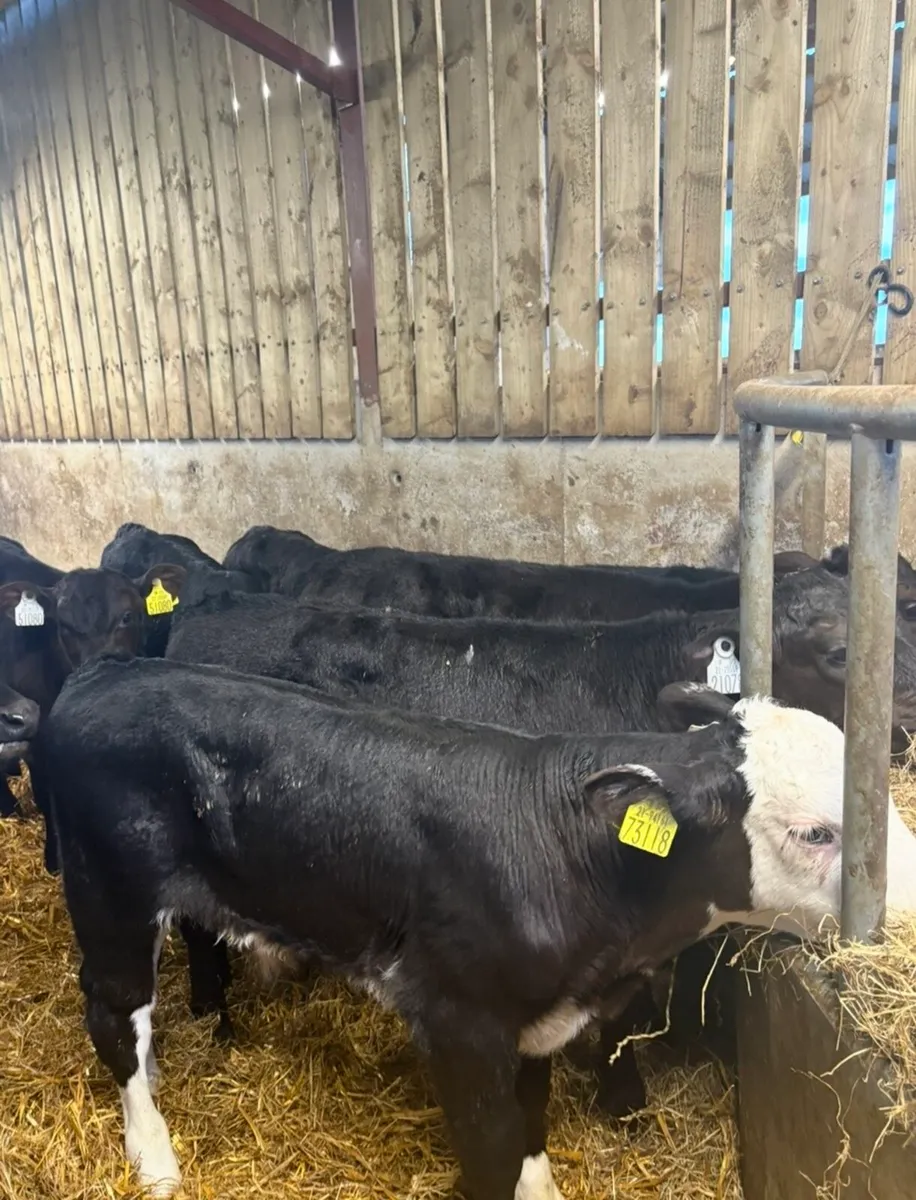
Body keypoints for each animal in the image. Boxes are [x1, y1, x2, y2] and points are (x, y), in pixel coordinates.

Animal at [40, 656, 916, 1199]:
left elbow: (529, 1135)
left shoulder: (532, 1027)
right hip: (111, 892)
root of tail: (103, 674)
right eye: (815, 832)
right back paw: (154, 1157)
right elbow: (493, 1150)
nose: (903, 907)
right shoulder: (457, 1023)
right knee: (114, 1014)